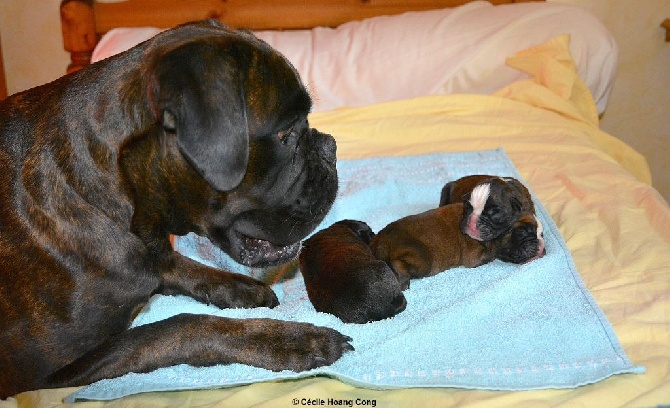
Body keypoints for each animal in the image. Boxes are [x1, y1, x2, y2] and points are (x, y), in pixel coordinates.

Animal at [0, 19, 354, 398]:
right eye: (285, 133)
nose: (331, 146)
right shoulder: (49, 375)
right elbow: (177, 327)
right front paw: (290, 339)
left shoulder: (153, 251)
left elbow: (181, 266)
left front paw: (238, 287)